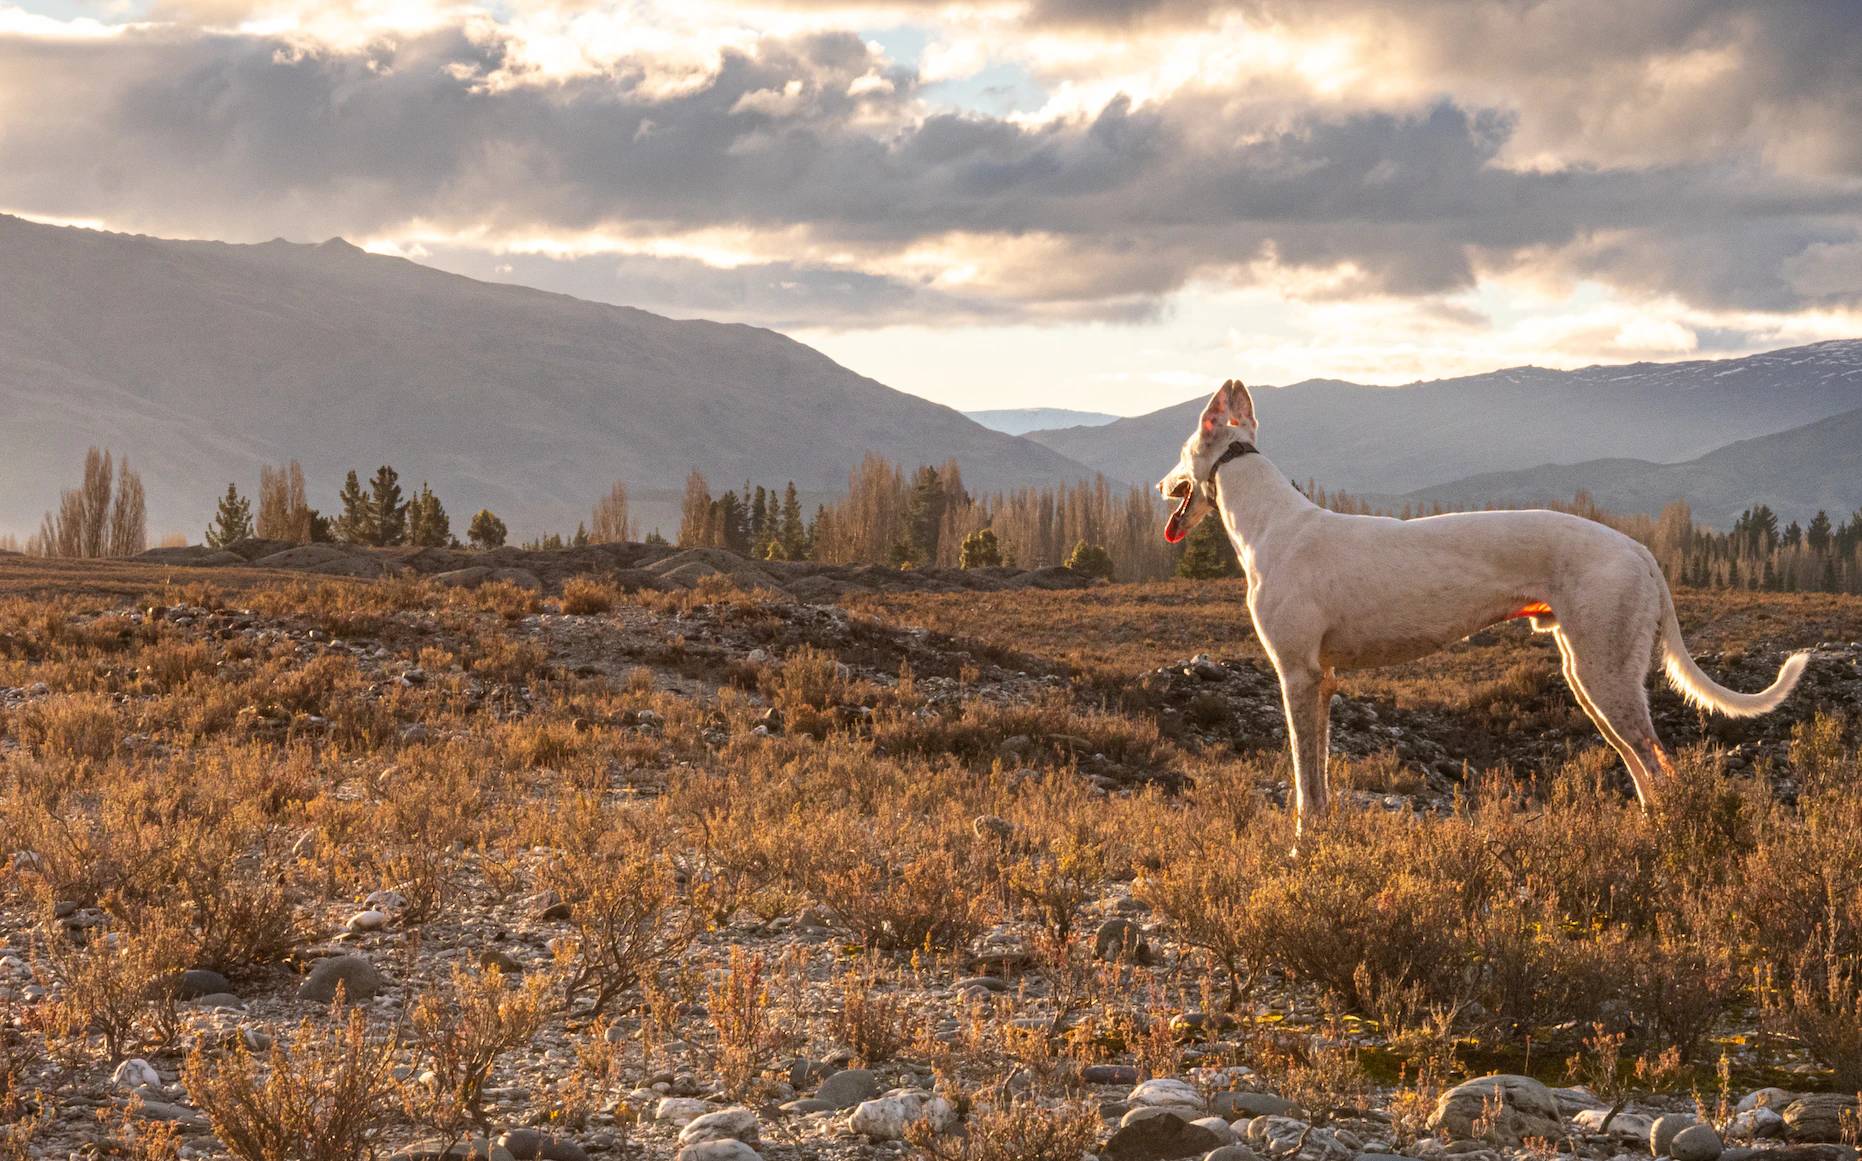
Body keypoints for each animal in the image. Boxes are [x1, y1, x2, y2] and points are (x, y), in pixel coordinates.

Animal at [1154, 375, 1809, 829]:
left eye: (1181, 451)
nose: (1160, 486)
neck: (1272, 522)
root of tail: (1642, 550)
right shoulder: (1323, 681)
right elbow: (1317, 777)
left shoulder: (1296, 675)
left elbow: (1304, 782)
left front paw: (1302, 850)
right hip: (1591, 678)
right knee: (1646, 770)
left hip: (1604, 676)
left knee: (1659, 768)